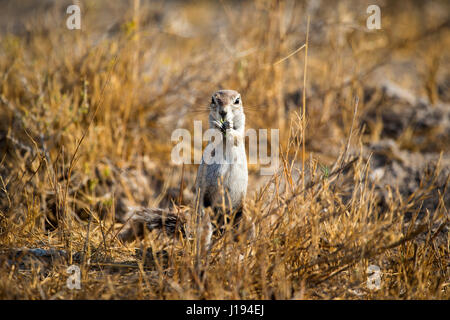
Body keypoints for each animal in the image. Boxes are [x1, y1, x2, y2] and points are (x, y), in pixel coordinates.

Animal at [118, 90, 248, 248]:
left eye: (237, 101)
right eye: (213, 100)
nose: (223, 112)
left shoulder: (241, 125)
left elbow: (236, 135)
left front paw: (228, 126)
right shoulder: (210, 124)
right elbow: (214, 131)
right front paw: (219, 125)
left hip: (239, 211)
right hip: (205, 210)